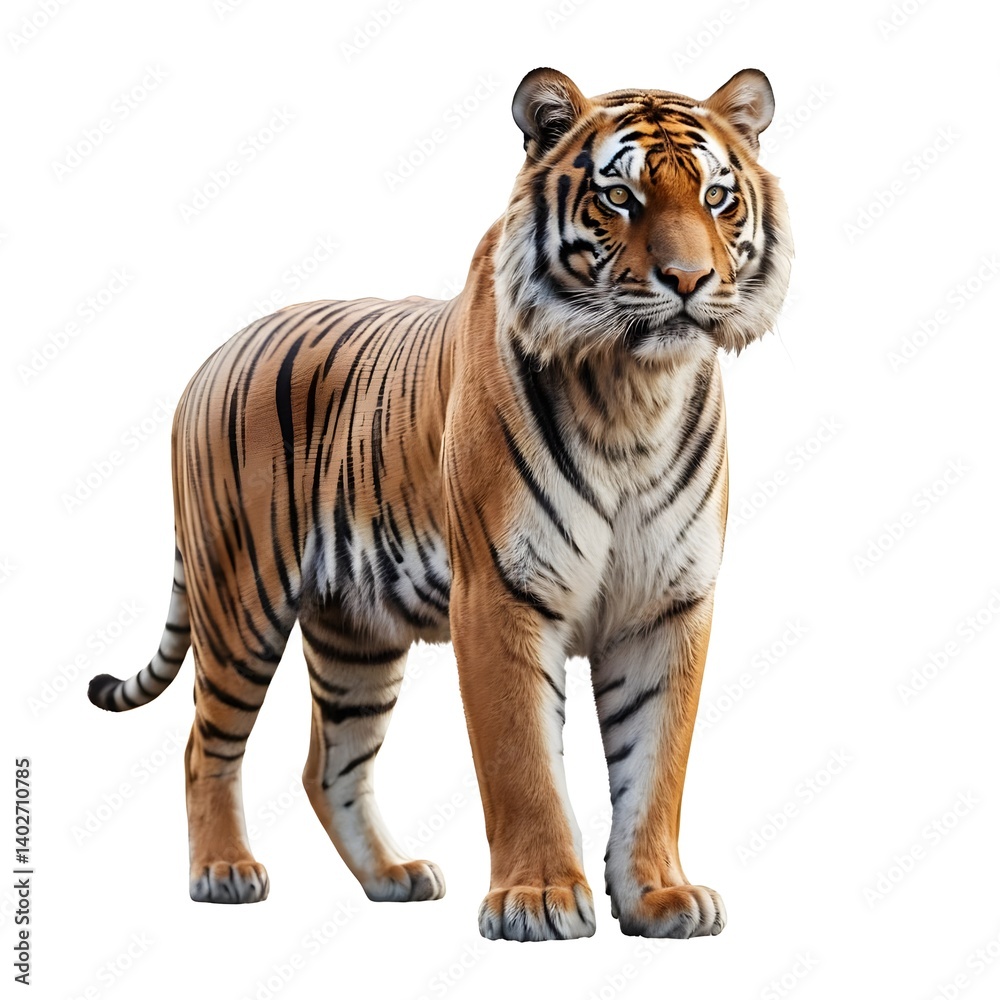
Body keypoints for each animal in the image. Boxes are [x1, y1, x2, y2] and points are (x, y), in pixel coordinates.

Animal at [88, 66, 792, 941]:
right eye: (620, 198)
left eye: (717, 197)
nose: (690, 282)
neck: (636, 393)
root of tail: (209, 359)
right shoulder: (500, 594)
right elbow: (522, 762)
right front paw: (539, 898)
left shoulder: (668, 604)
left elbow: (656, 767)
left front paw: (661, 895)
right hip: (239, 601)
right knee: (203, 746)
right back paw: (225, 871)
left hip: (354, 635)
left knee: (329, 766)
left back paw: (393, 876)